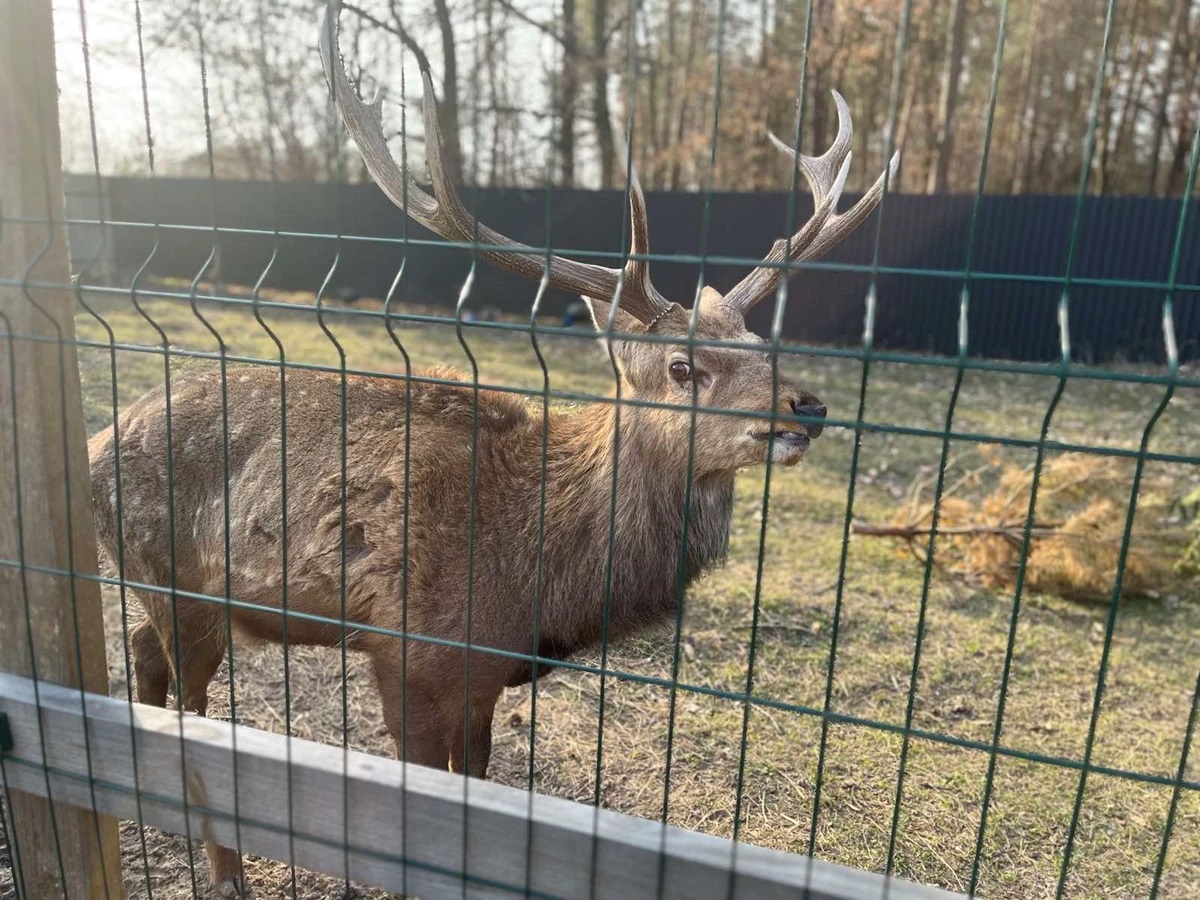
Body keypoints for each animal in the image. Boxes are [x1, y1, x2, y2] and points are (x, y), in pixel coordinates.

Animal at [87, 5, 902, 897]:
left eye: (763, 344)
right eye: (684, 367)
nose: (808, 408)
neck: (536, 571)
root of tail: (92, 444)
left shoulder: (482, 678)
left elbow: (479, 785)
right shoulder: (409, 649)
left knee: (143, 657)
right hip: (173, 577)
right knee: (189, 707)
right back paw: (225, 872)